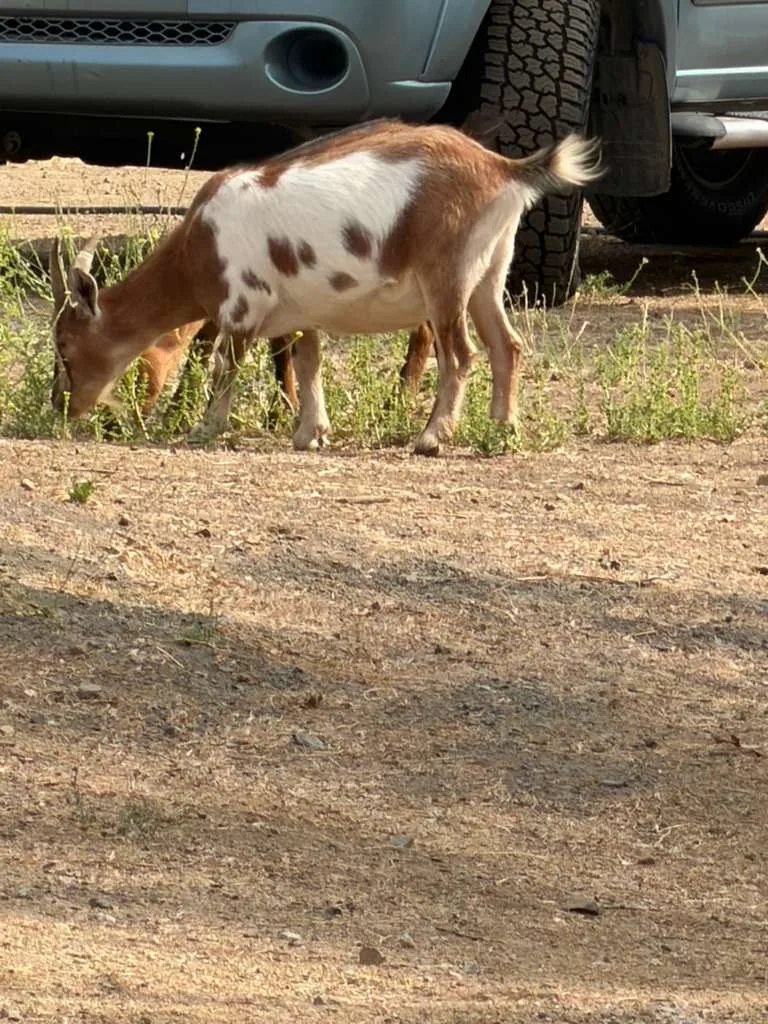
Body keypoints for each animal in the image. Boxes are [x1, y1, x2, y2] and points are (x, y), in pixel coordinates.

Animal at [49, 119, 599, 455]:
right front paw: (311, 433)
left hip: (448, 275)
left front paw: (203, 429)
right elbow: (307, 361)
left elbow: (226, 365)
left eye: (64, 345)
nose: (61, 406)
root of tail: (501, 169)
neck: (199, 243)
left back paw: (431, 437)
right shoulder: (299, 311)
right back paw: (504, 431)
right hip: (488, 271)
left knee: (460, 353)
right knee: (508, 346)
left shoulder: (243, 306)